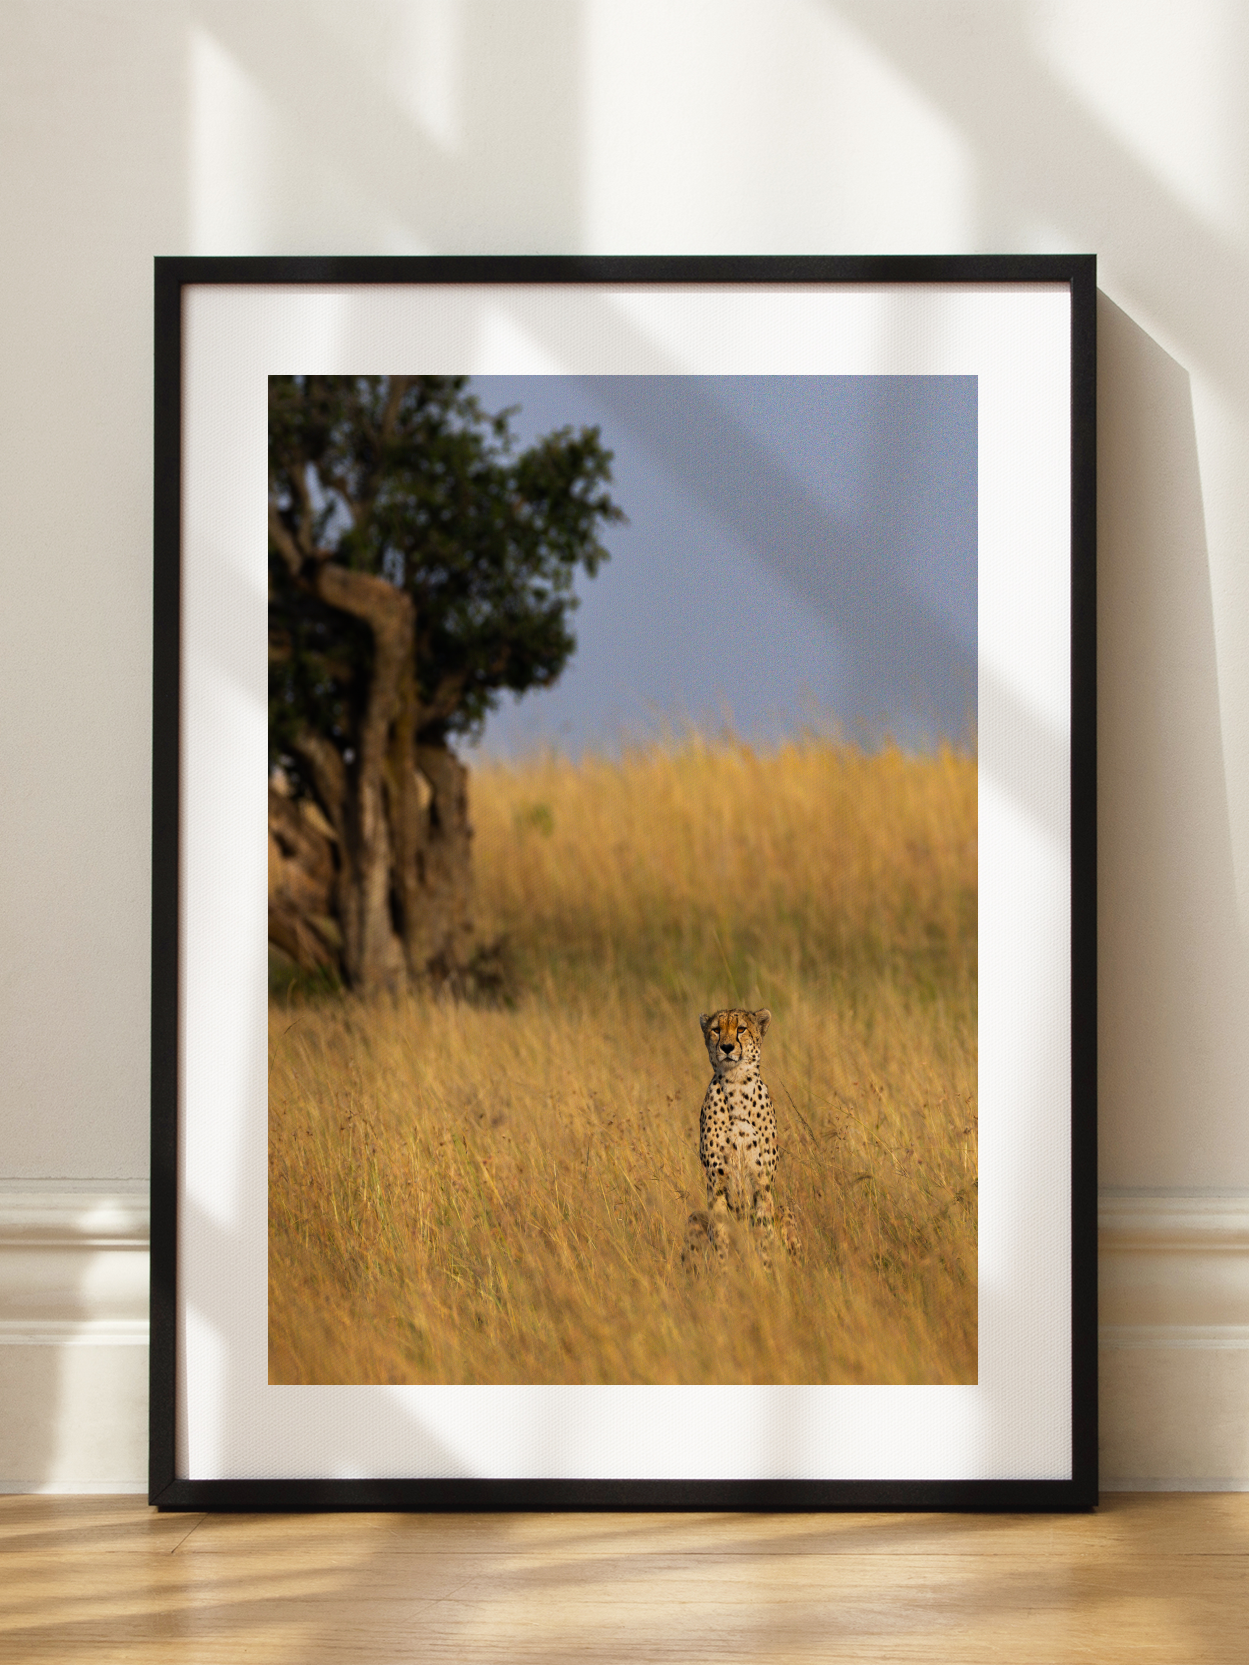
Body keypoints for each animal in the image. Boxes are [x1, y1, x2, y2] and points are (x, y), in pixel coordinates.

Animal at [684, 1007, 782, 1269]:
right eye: (716, 1029)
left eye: (741, 1029)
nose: (727, 1047)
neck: (736, 1083)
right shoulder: (716, 1177)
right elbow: (720, 1231)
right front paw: (723, 1269)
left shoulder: (761, 1177)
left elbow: (763, 1229)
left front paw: (765, 1268)